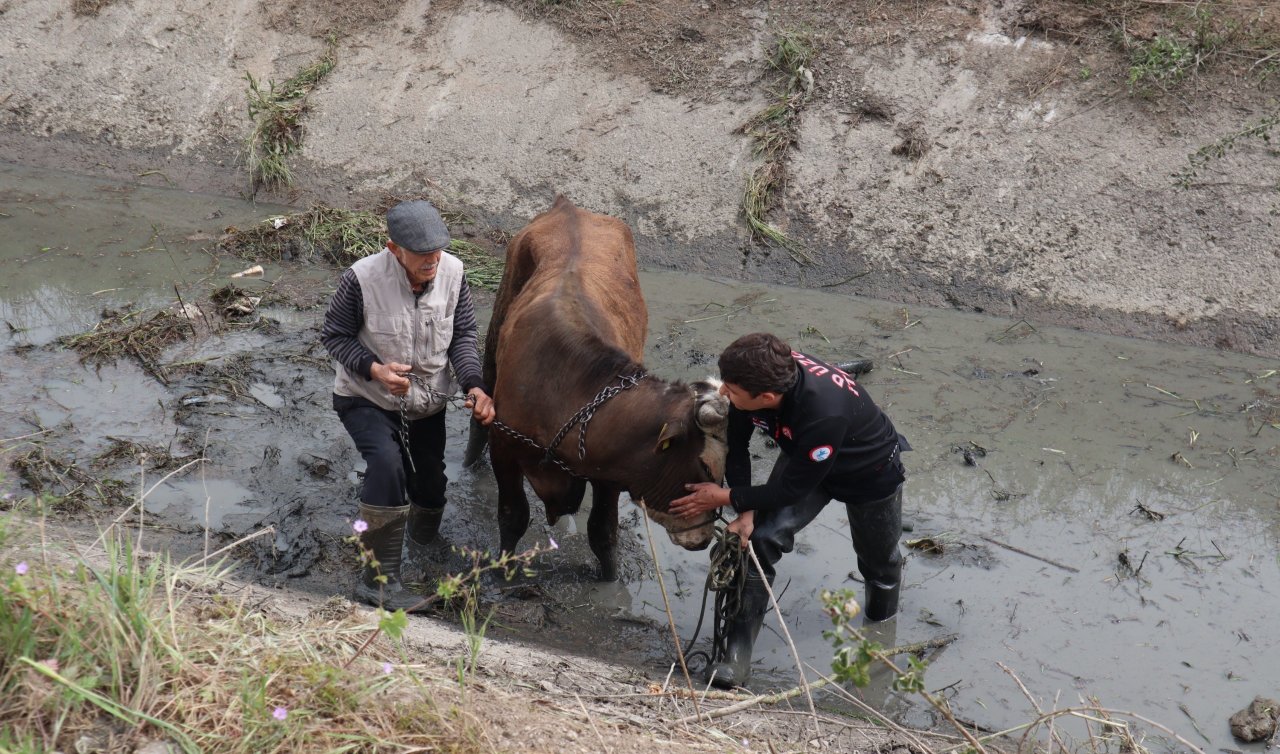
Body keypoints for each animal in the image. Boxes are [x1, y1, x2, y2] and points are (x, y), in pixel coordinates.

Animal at [465, 195, 732, 581]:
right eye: (708, 468)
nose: (703, 540)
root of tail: (568, 207)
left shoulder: (609, 474)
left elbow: (602, 531)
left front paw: (609, 580)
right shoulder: (505, 450)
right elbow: (513, 517)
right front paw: (503, 573)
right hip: (495, 328)